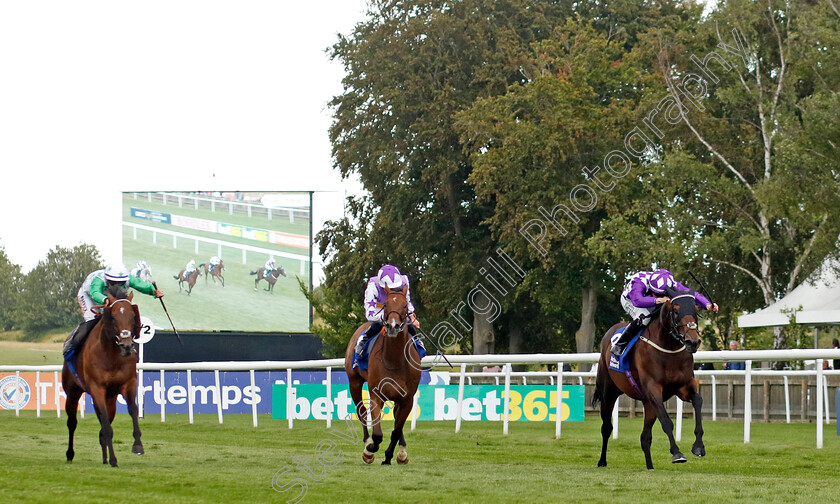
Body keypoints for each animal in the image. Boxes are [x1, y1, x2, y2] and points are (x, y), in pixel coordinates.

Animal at [62, 290, 144, 466]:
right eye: (113, 317)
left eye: (133, 316)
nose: (126, 345)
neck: (111, 354)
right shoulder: (97, 388)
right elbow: (106, 425)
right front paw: (114, 459)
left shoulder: (129, 384)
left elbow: (133, 410)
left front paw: (137, 445)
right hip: (72, 392)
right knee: (72, 422)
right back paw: (70, 454)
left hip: (110, 398)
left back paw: (105, 458)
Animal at [344, 286, 420, 466]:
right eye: (385, 305)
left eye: (405, 305)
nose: (392, 326)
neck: (395, 360)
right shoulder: (376, 394)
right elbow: (377, 434)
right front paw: (370, 449)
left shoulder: (407, 399)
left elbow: (396, 429)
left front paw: (391, 455)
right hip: (354, 382)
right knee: (362, 411)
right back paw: (367, 444)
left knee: (396, 419)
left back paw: (402, 451)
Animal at [592, 290, 704, 470]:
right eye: (676, 311)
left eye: (695, 310)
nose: (692, 342)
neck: (668, 349)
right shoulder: (653, 390)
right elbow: (666, 422)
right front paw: (677, 453)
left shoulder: (684, 386)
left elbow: (698, 401)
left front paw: (699, 446)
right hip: (609, 393)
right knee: (607, 427)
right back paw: (602, 461)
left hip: (647, 403)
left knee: (645, 437)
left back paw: (650, 466)